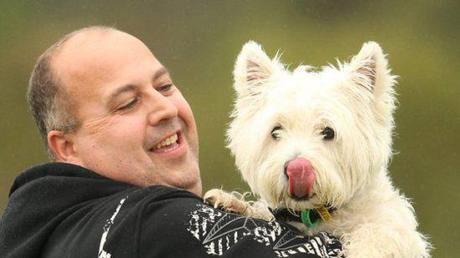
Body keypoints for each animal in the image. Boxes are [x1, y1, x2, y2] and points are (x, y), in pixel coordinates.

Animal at [205, 41, 432, 256]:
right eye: (276, 131)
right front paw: (232, 203)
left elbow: (379, 234)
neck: (315, 215)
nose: (297, 169)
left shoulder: (393, 227)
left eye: (328, 132)